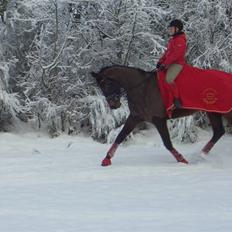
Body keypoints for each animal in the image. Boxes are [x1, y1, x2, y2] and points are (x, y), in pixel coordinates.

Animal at [91, 65, 232, 167]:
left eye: (108, 84)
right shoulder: (135, 117)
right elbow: (120, 136)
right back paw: (201, 155)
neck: (143, 88)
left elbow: (167, 143)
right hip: (213, 112)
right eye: (101, 86)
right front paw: (106, 159)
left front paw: (182, 160)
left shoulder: (158, 119)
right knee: (218, 132)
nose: (113, 104)